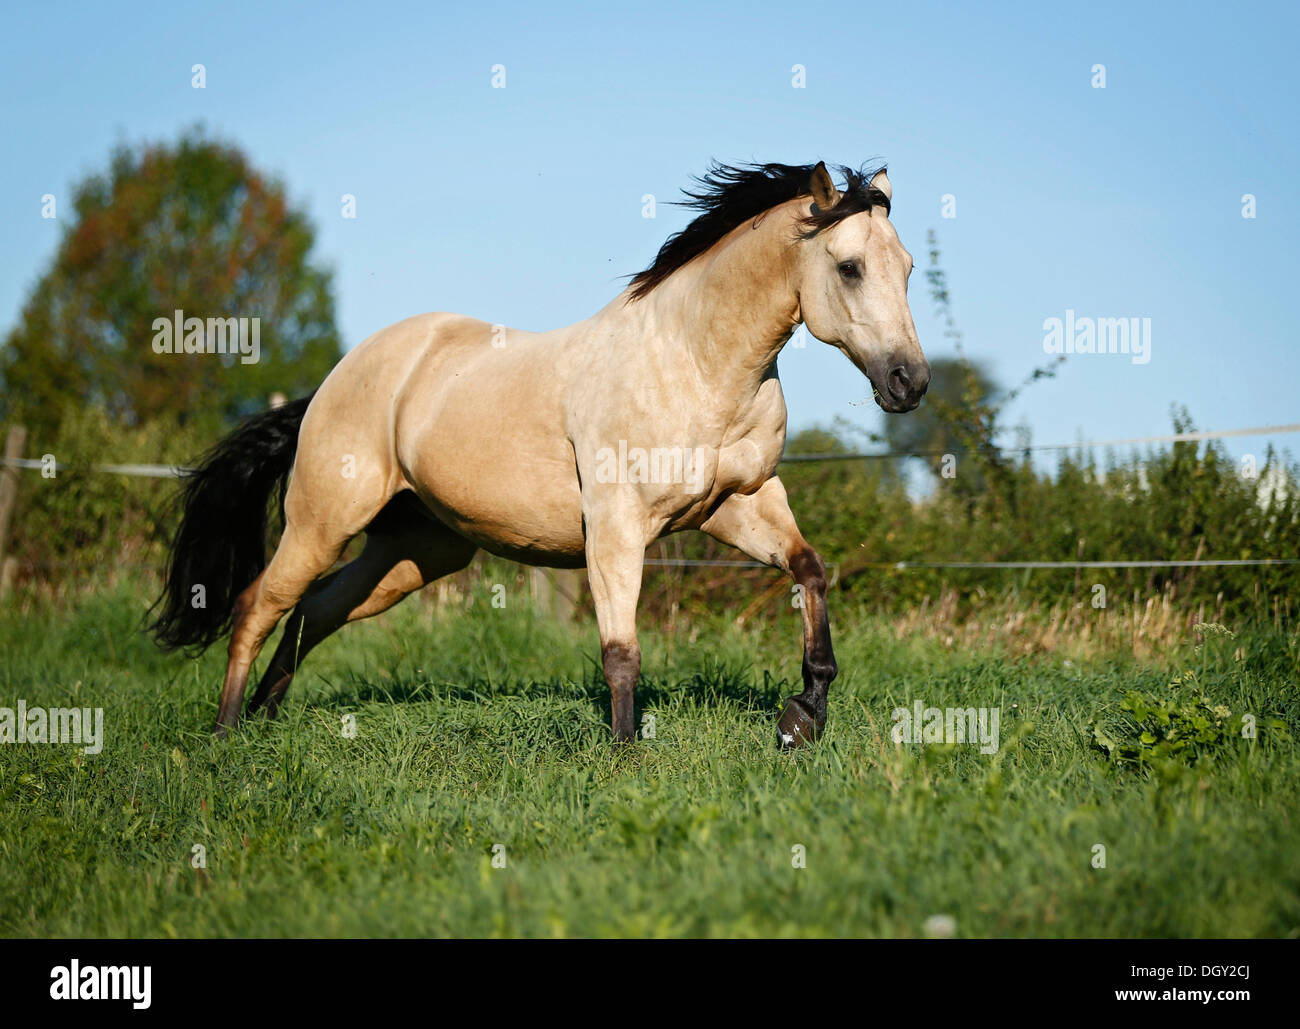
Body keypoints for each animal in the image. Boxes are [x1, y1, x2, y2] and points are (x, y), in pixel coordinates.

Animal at [149, 165, 925, 753]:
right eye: (849, 267)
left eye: (909, 267)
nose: (909, 382)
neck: (692, 362)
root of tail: (334, 382)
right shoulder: (615, 529)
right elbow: (621, 652)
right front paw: (624, 759)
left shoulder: (741, 503)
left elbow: (810, 571)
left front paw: (803, 715)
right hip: (324, 521)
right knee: (259, 604)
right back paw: (226, 736)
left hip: (413, 551)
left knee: (314, 610)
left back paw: (267, 716)